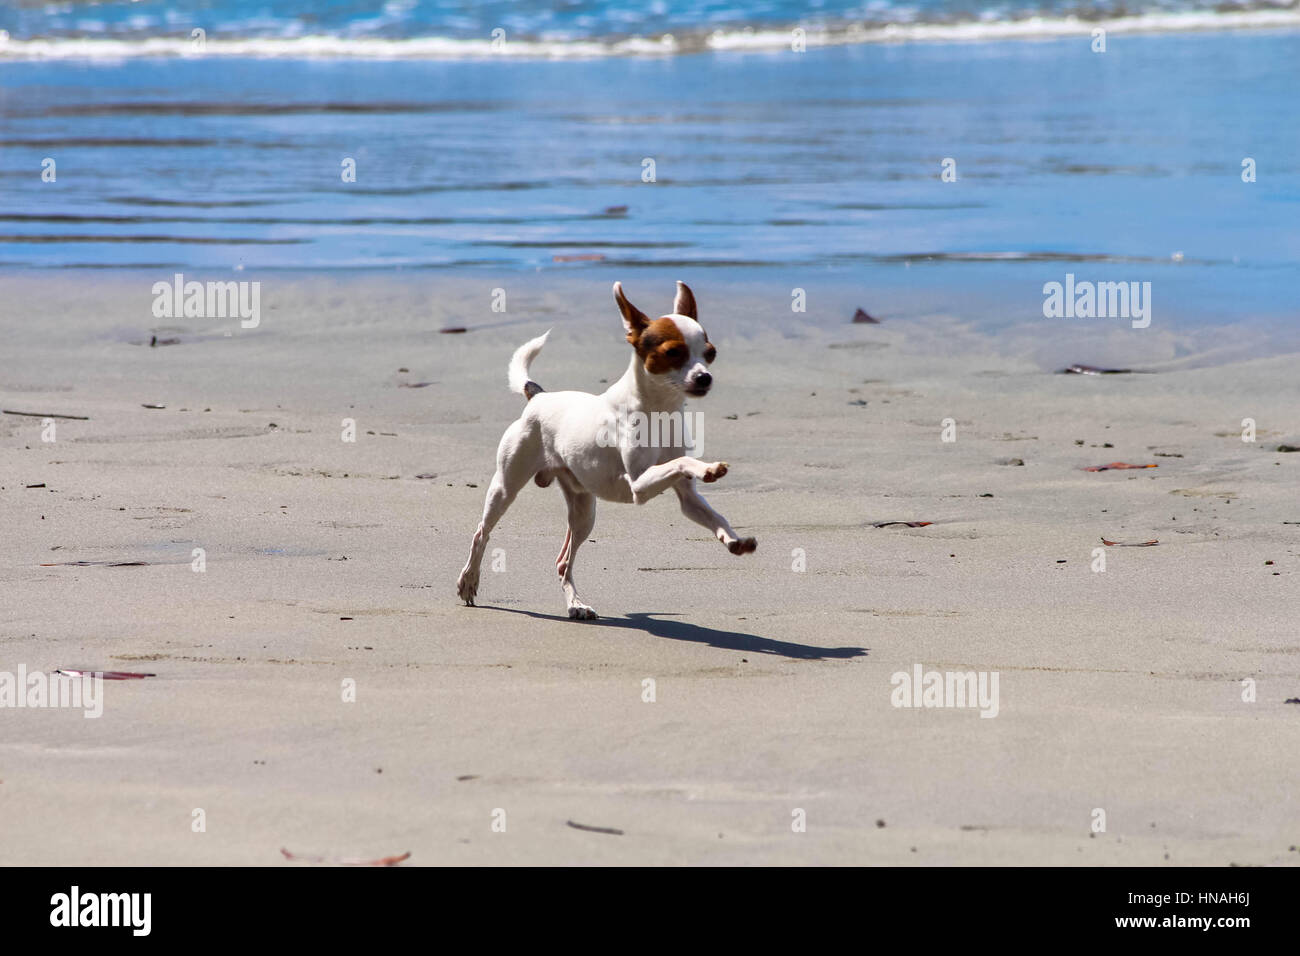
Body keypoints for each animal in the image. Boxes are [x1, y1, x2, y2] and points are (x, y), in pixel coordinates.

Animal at [462, 280, 759, 621]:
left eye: (710, 354)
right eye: (673, 352)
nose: (704, 377)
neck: (658, 410)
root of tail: (538, 396)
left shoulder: (688, 499)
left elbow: (713, 513)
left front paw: (733, 539)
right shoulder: (639, 485)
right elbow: (683, 461)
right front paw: (707, 468)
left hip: (583, 509)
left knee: (564, 561)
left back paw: (576, 604)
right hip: (505, 487)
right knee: (481, 533)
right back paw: (469, 581)